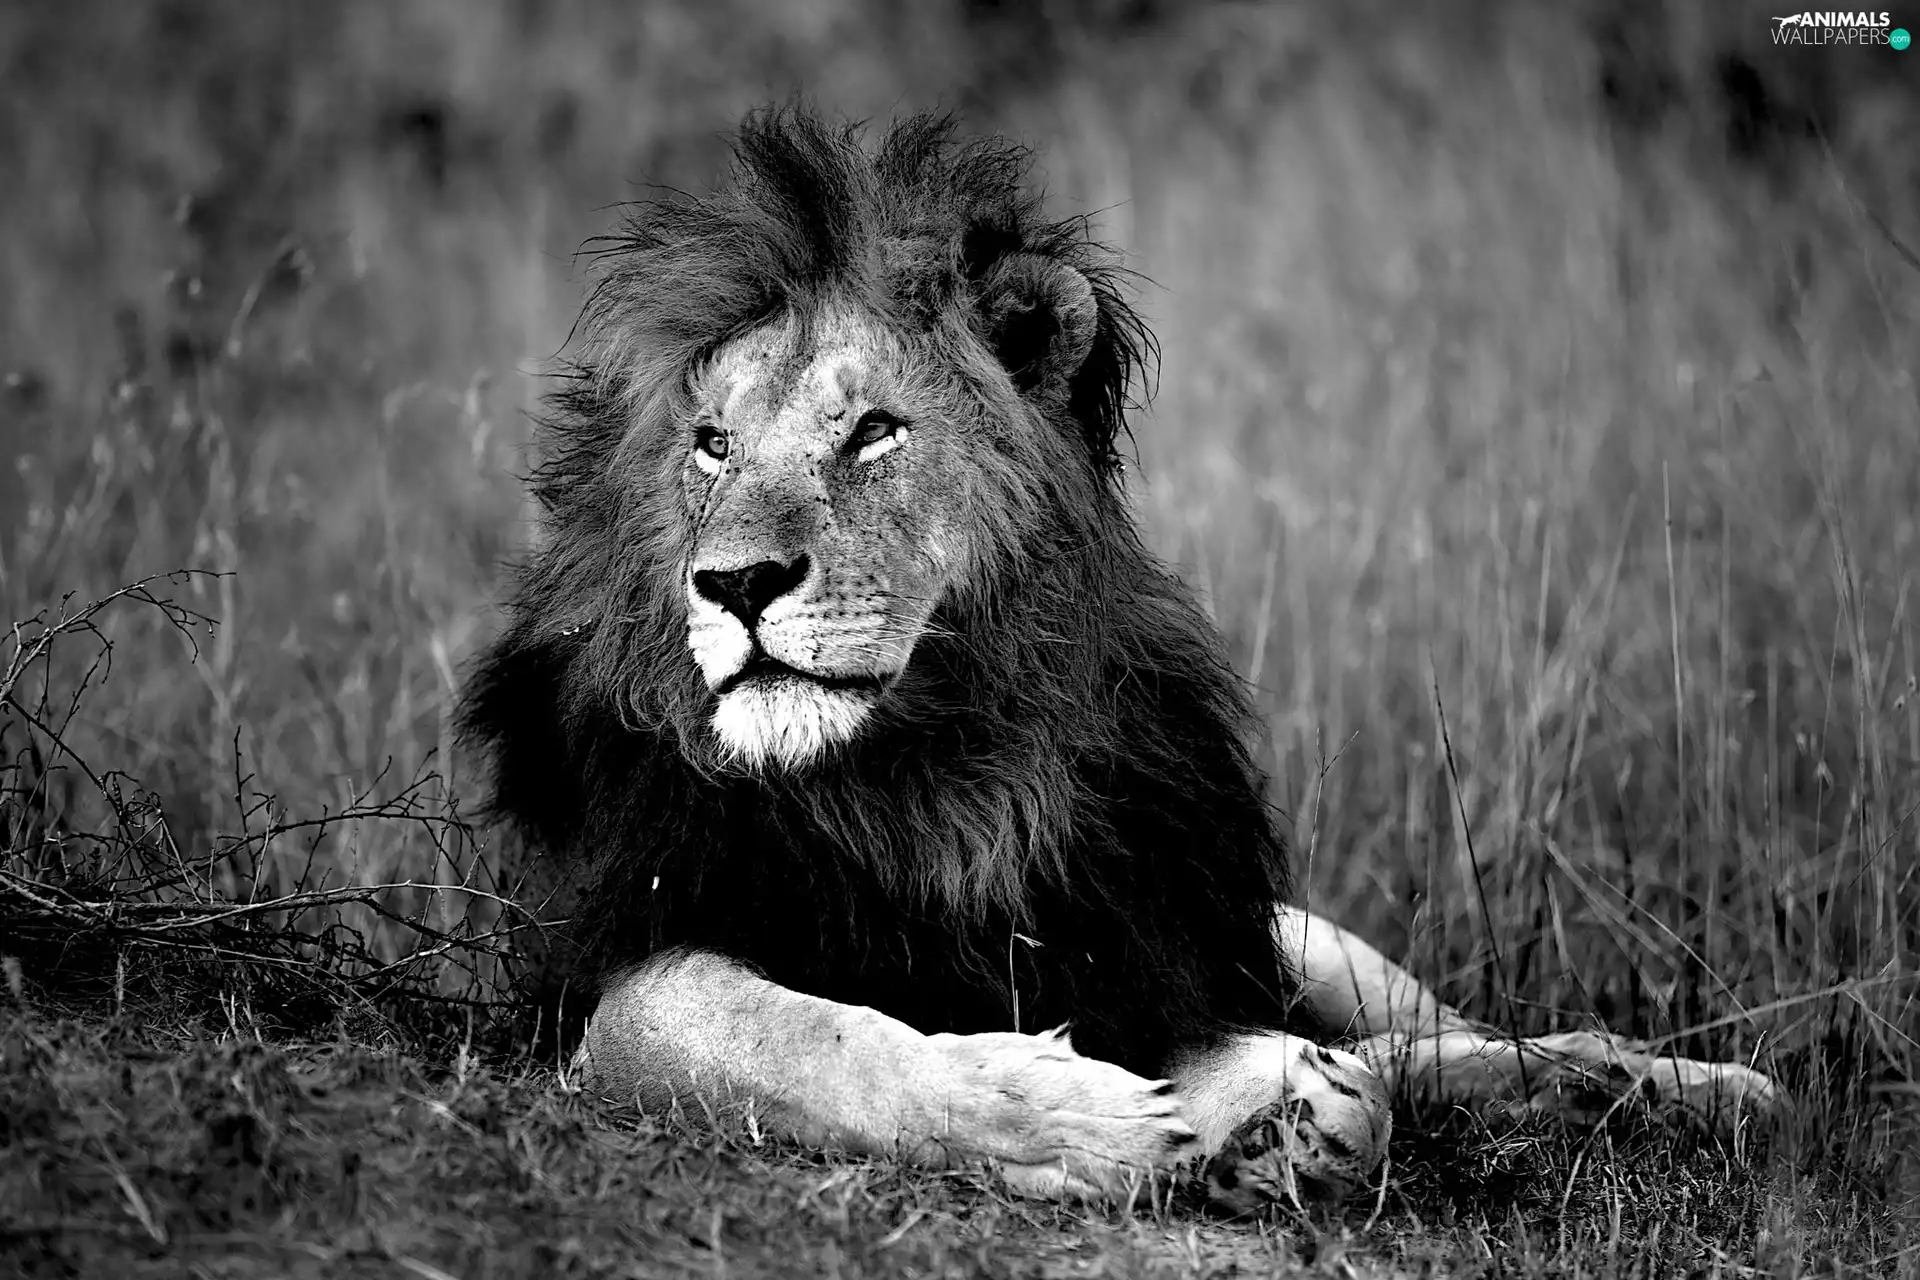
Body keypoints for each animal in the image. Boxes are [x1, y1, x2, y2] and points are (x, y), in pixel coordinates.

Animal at [460, 107, 1779, 1211]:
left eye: (876, 431)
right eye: (712, 446)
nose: (734, 583)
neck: (927, 775)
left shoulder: (1157, 944)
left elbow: (1342, 1088)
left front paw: (1266, 1119)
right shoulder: (614, 981)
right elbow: (813, 1039)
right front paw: (1067, 1112)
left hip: (1300, 931)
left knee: (1421, 1036)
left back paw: (1668, 1084)